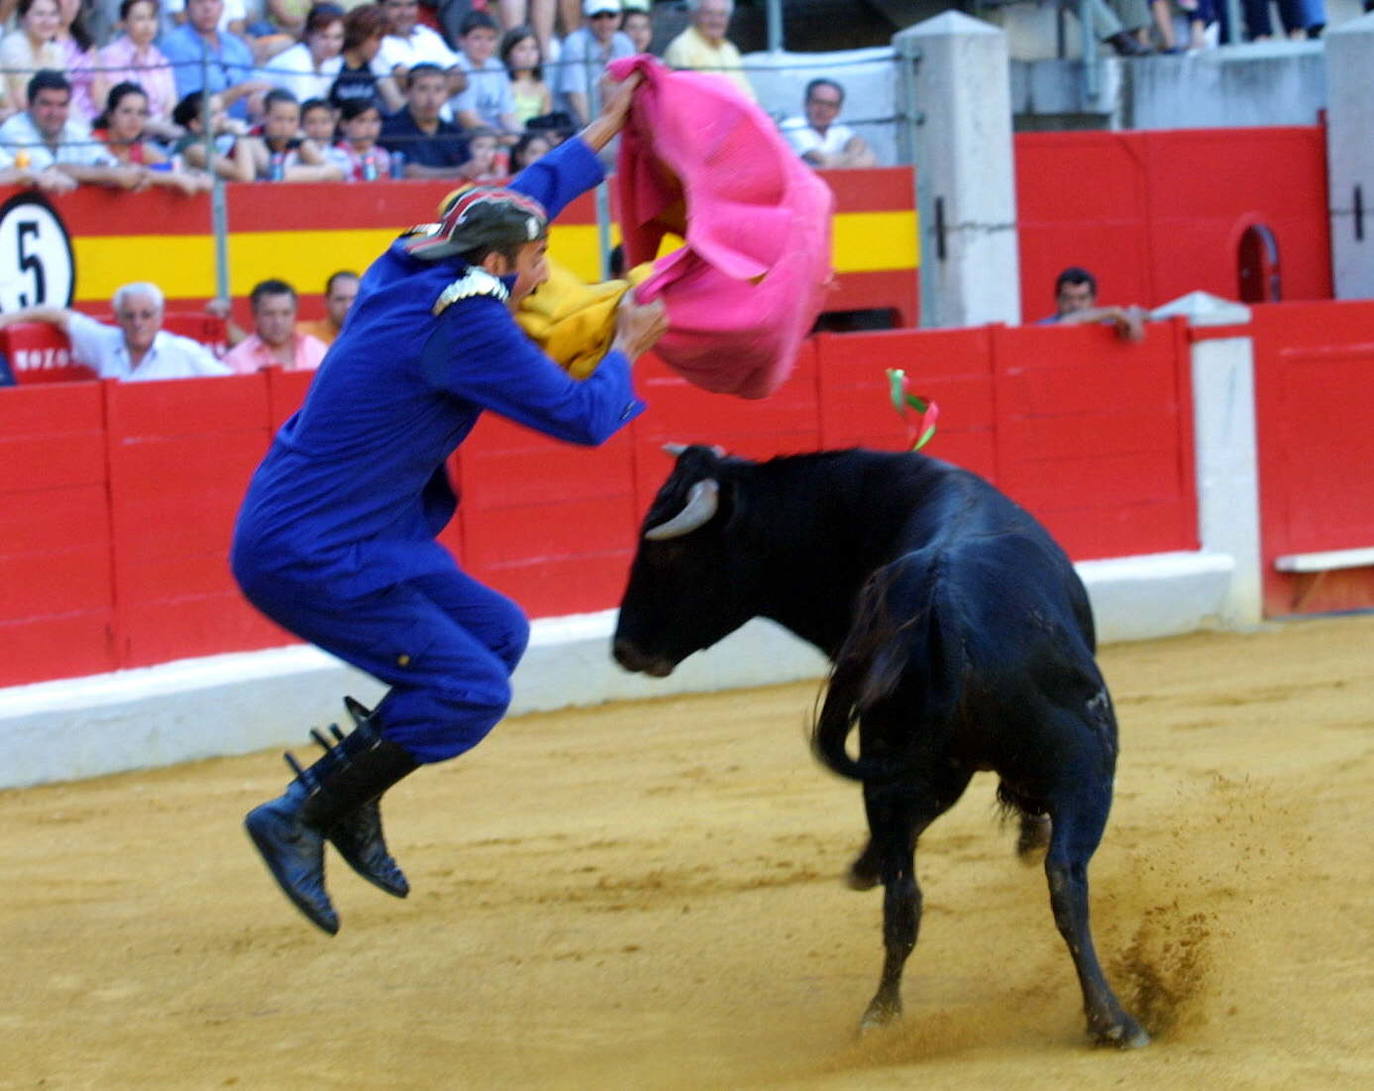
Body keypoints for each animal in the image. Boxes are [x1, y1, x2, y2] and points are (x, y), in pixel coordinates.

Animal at [615, 442, 1148, 1044]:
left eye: (666, 555)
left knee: (904, 897)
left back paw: (882, 1012)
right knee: (1063, 876)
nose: (623, 648)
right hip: (1087, 768)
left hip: (900, 768)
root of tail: (941, 607)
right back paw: (1112, 1019)